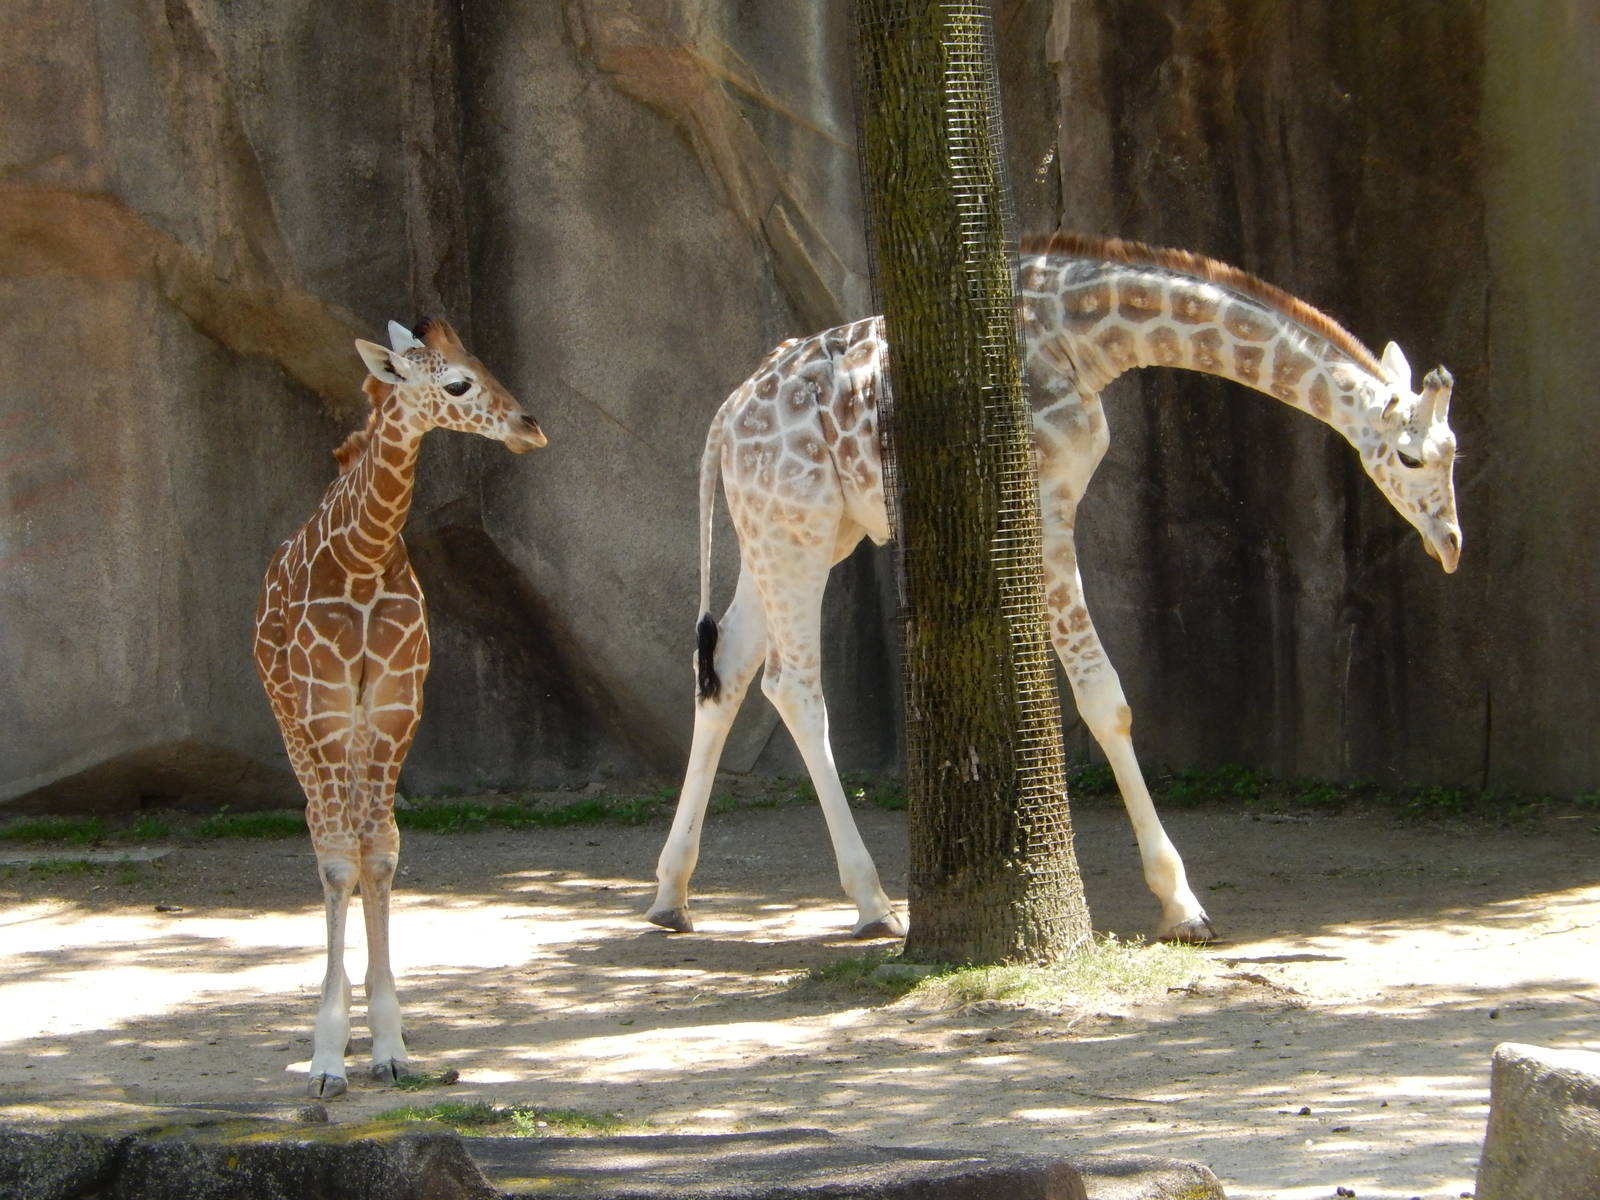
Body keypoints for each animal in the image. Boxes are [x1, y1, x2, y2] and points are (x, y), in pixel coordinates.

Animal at [253, 317, 545, 1098]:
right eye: (459, 385)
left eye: (483, 362)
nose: (529, 428)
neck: (361, 558)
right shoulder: (325, 707)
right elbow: (336, 862)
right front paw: (328, 1055)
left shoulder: (393, 705)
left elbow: (380, 854)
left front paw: (388, 1042)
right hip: (292, 719)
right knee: (324, 829)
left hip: (356, 732)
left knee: (359, 831)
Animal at [648, 232, 1460, 943]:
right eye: (1412, 457)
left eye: (1457, 450)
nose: (1451, 544)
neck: (1084, 336)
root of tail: (726, 417)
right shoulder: (1041, 505)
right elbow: (1107, 699)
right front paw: (1181, 905)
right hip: (800, 528)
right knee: (794, 684)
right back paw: (873, 904)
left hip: (791, 529)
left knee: (727, 667)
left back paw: (671, 896)